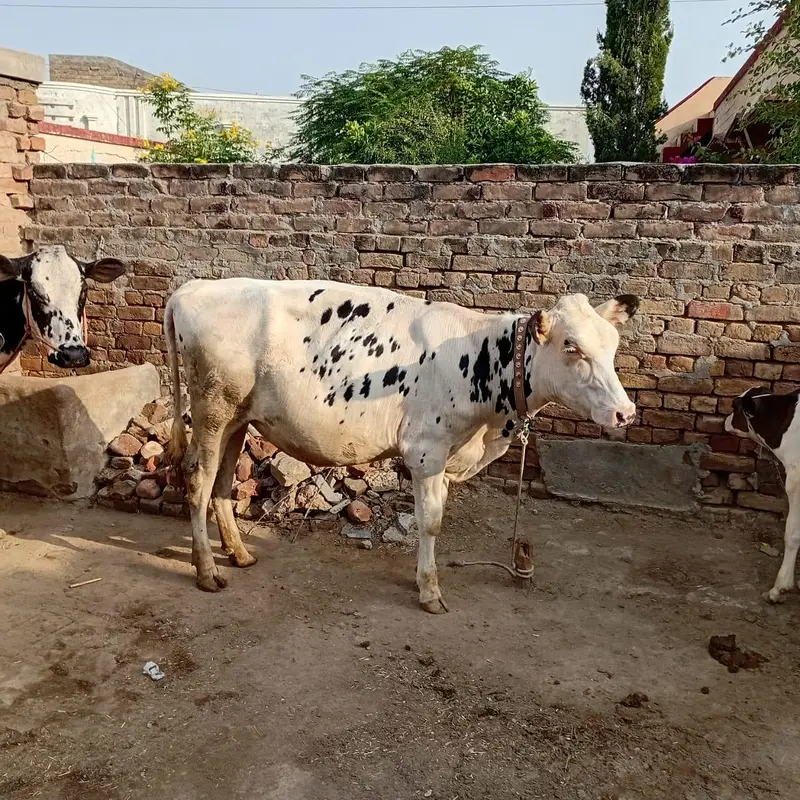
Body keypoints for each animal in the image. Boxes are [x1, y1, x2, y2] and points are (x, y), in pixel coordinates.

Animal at [165, 278, 638, 612]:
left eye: (613, 345)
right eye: (571, 347)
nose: (625, 412)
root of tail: (194, 287)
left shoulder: (446, 457)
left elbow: (436, 518)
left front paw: (421, 577)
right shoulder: (426, 452)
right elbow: (429, 523)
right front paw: (429, 591)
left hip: (237, 418)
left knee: (222, 482)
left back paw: (240, 553)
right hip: (212, 410)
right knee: (198, 479)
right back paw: (207, 571)